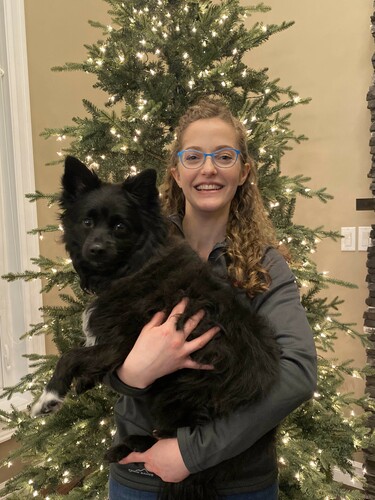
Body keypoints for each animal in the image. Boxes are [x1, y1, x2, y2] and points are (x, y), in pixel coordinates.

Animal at [31, 157, 280, 500]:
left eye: (120, 226)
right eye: (87, 222)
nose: (95, 249)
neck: (133, 266)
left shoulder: (124, 344)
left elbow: (70, 355)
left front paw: (50, 396)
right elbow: (85, 355)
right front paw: (84, 381)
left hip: (178, 392)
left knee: (173, 440)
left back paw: (130, 446)